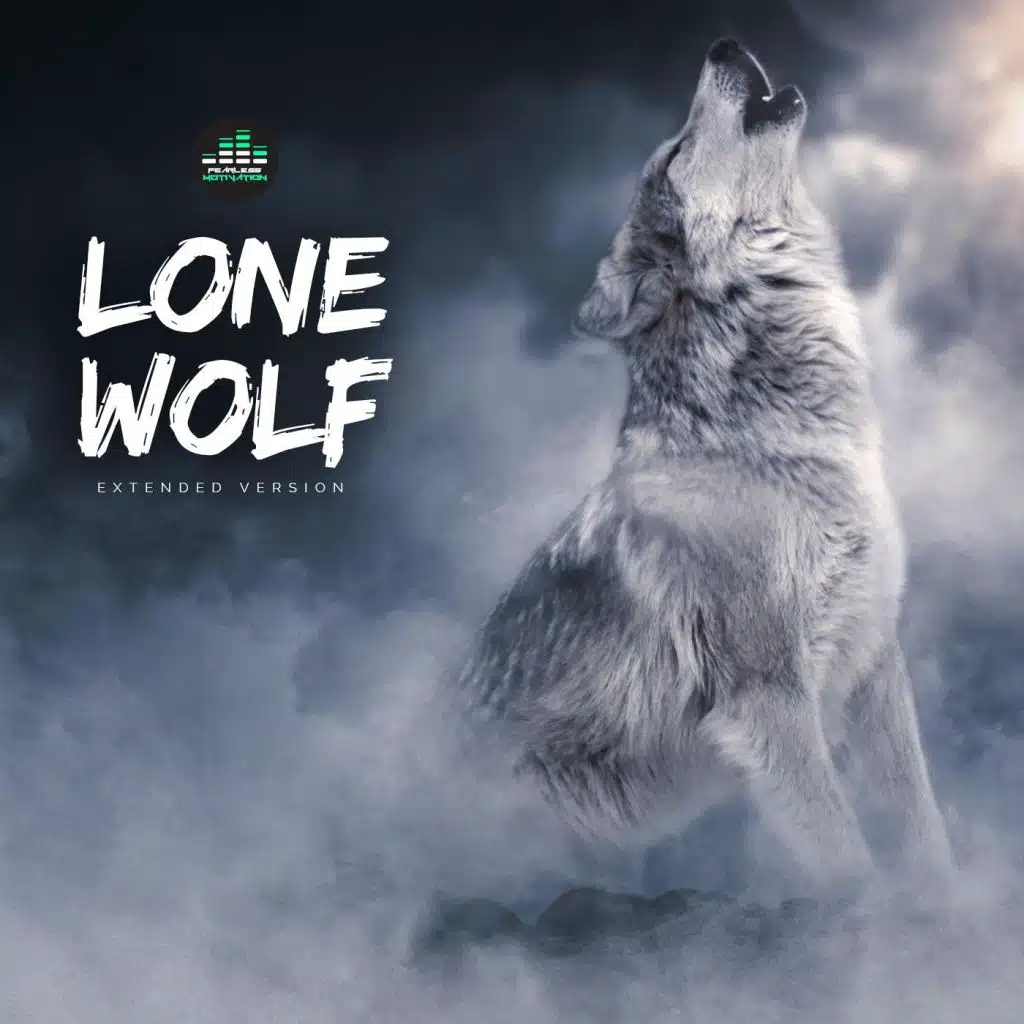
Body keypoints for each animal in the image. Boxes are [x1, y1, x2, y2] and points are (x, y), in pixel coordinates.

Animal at [457, 39, 955, 895]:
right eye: (674, 153)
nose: (724, 45)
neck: (771, 442)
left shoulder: (872, 658)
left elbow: (921, 829)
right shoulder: (767, 697)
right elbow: (848, 859)